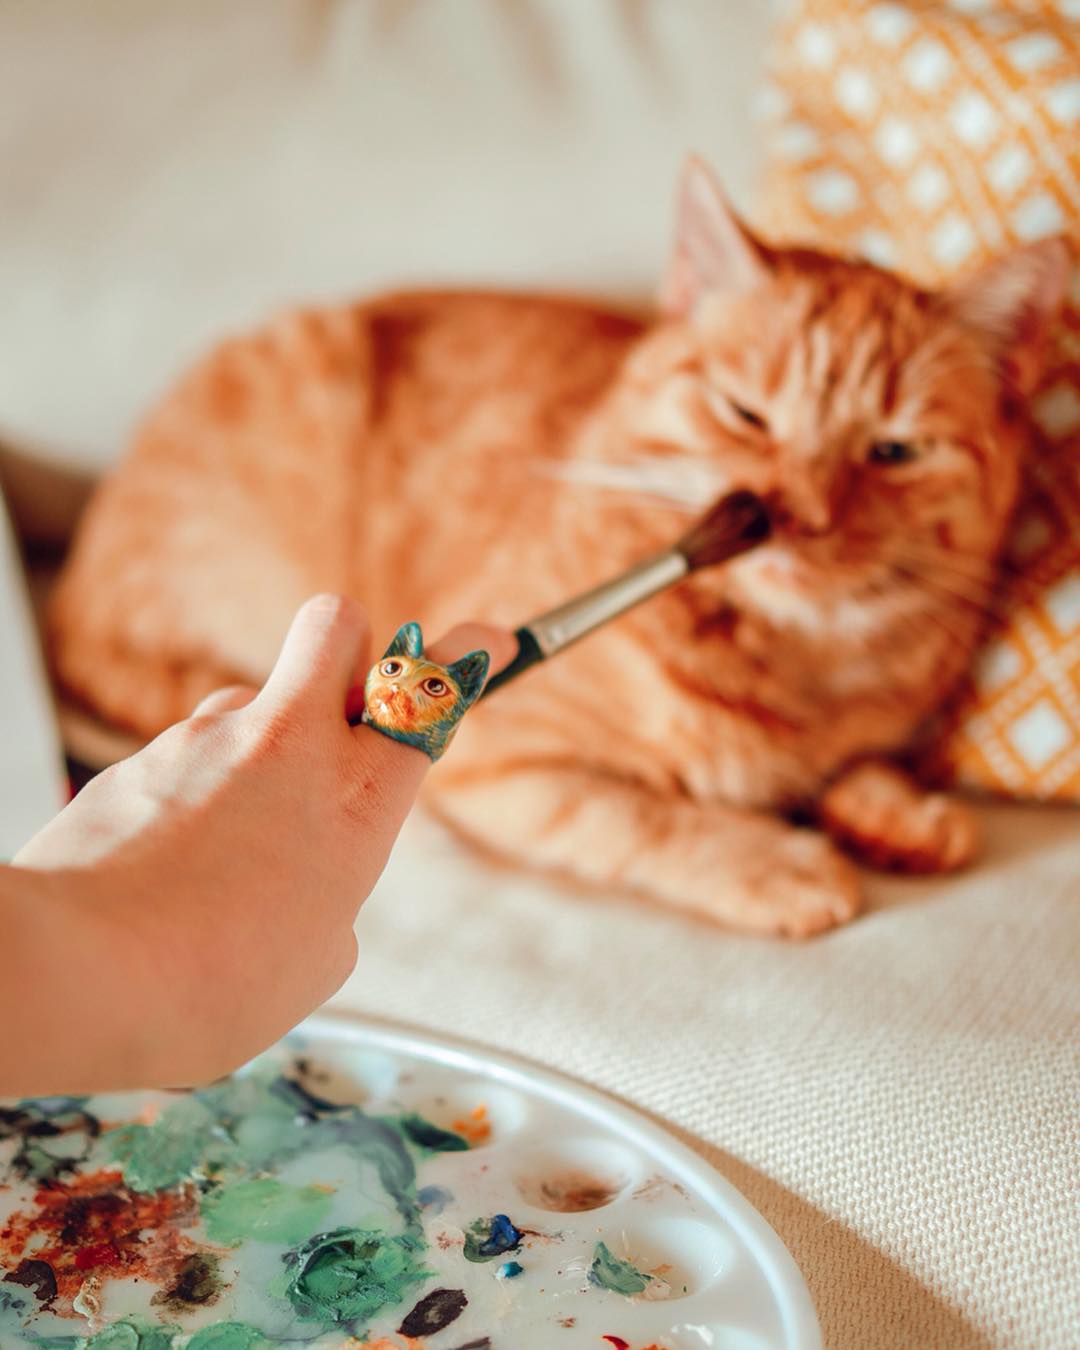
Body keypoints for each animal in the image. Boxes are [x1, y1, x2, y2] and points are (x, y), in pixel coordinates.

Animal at [48, 157, 1063, 939]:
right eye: (746, 415)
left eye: (896, 452)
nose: (793, 514)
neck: (792, 661)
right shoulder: (513, 767)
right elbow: (643, 814)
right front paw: (783, 865)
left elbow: (861, 765)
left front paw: (898, 815)